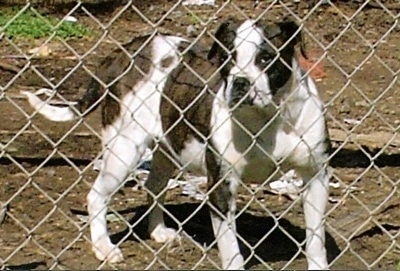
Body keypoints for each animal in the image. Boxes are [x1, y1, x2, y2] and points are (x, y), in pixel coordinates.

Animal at [21, 18, 328, 270]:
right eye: (227, 58)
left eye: (266, 58)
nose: (240, 82)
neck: (269, 118)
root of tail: (125, 52)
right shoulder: (221, 187)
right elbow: (231, 250)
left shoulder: (316, 178)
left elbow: (316, 240)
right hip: (123, 150)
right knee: (97, 195)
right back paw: (104, 247)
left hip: (165, 150)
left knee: (154, 187)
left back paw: (158, 231)